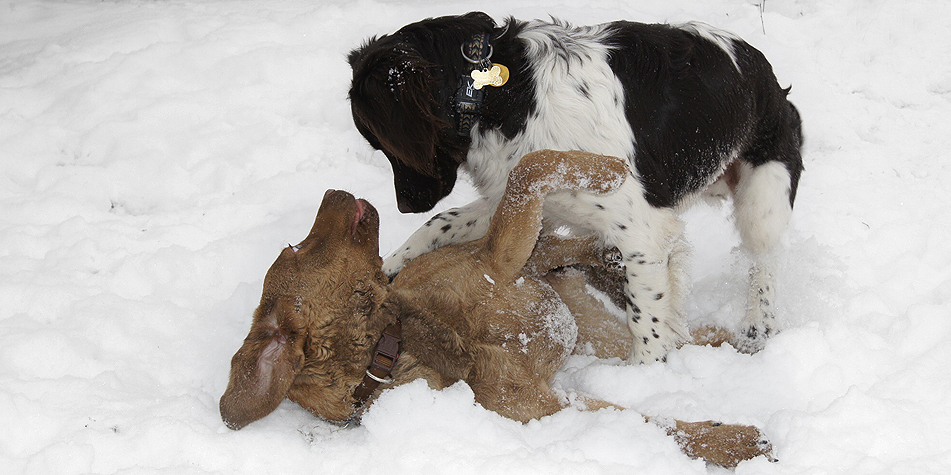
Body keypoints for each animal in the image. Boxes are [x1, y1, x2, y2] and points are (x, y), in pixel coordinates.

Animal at [221, 151, 772, 466]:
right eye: (295, 248)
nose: (333, 190)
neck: (398, 338)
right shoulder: (544, 406)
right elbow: (652, 423)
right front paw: (733, 443)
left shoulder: (498, 256)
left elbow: (533, 164)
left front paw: (610, 171)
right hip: (588, 330)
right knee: (658, 335)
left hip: (556, 284)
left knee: (574, 252)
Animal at [350, 12, 804, 364]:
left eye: (382, 143)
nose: (405, 205)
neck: (497, 94)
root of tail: (768, 75)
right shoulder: (525, 200)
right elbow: (438, 225)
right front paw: (385, 271)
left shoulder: (642, 234)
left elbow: (646, 322)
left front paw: (644, 382)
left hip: (762, 196)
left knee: (763, 261)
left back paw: (758, 326)